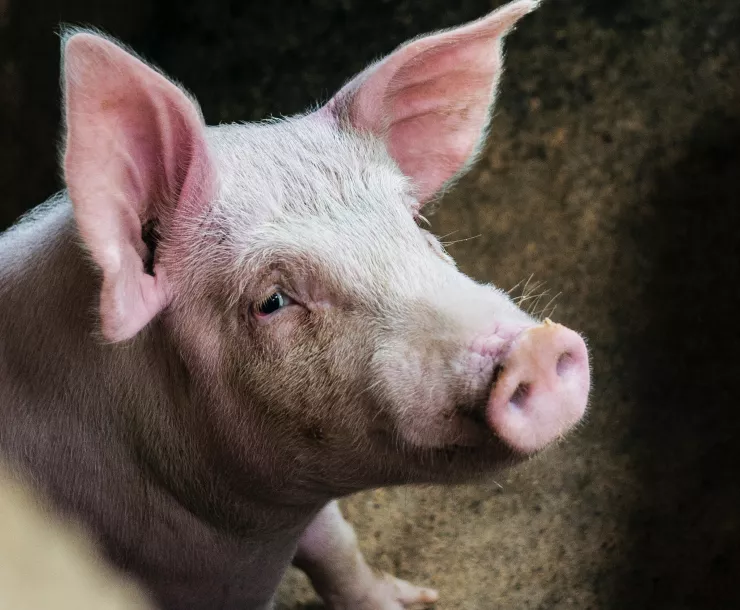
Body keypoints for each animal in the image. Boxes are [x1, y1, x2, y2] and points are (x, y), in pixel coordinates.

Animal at [0, 0, 588, 604]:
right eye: (272, 301)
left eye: (417, 224)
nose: (536, 347)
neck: (250, 539)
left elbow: (336, 545)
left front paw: (417, 600)